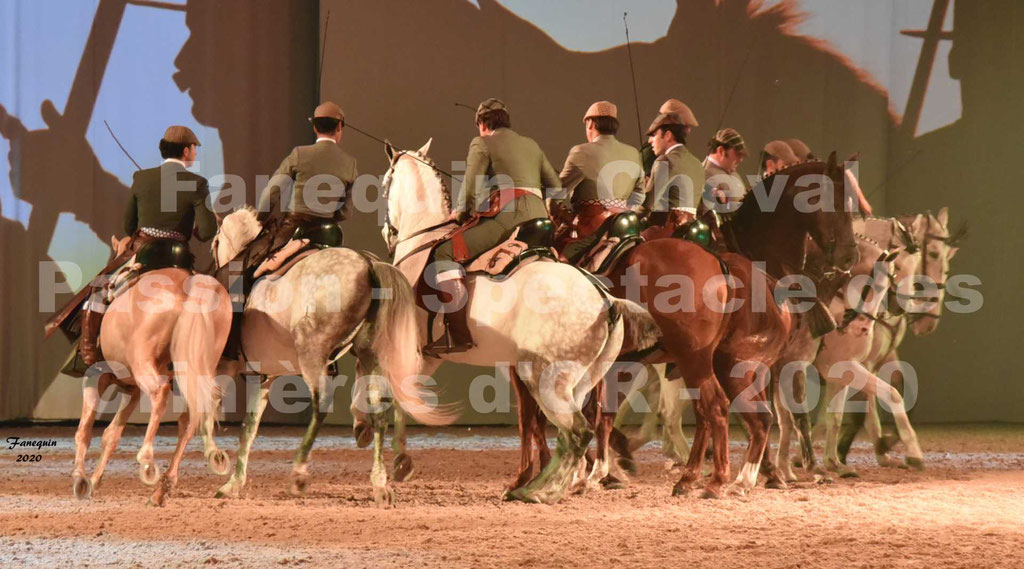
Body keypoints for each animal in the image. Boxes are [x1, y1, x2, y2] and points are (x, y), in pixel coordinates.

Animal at [72, 235, 232, 507]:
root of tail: (190, 284)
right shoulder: (131, 390)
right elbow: (111, 435)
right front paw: (93, 481)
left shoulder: (97, 378)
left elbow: (84, 431)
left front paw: (81, 481)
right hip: (196, 370)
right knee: (192, 415)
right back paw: (164, 487)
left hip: (144, 365)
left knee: (160, 393)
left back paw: (147, 461)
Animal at [211, 205, 452, 507]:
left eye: (214, 243)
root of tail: (369, 264)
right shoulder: (264, 375)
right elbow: (249, 427)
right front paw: (233, 482)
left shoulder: (230, 369)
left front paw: (219, 465)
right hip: (372, 354)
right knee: (381, 410)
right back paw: (381, 483)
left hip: (312, 356)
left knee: (322, 405)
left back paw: (300, 473)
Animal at [380, 140, 659, 505]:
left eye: (384, 185)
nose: (387, 234)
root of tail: (605, 300)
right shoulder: (430, 356)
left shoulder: (412, 351)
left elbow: (399, 396)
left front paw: (400, 464)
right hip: (578, 381)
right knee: (582, 428)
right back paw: (560, 482)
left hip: (545, 379)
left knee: (577, 432)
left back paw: (539, 490)